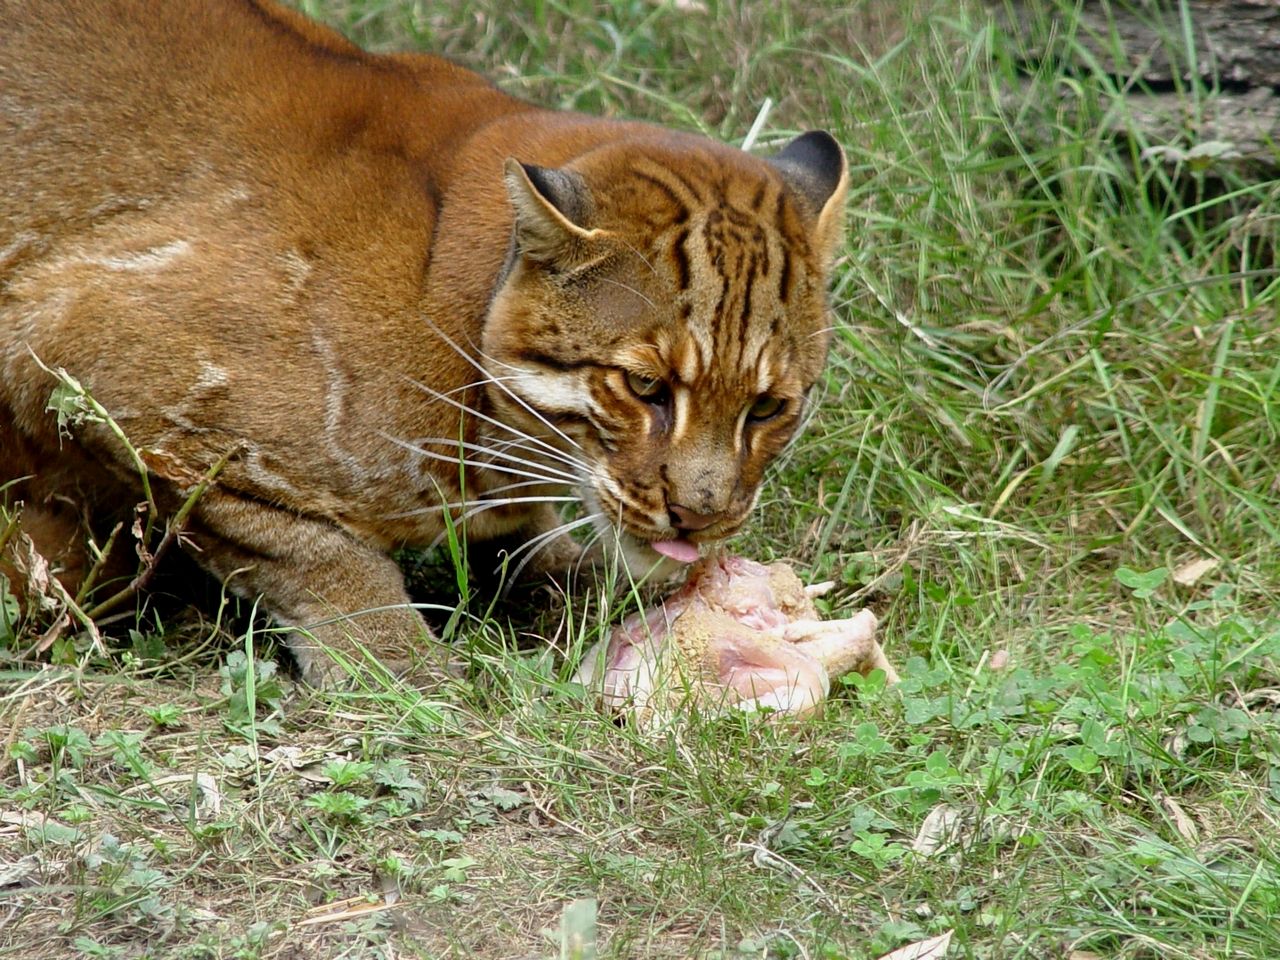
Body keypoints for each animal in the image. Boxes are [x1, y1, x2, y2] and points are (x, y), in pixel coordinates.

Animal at [2, 0, 849, 686]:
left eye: (769, 408)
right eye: (645, 387)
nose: (701, 518)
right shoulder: (71, 343)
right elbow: (308, 546)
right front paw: (398, 663)